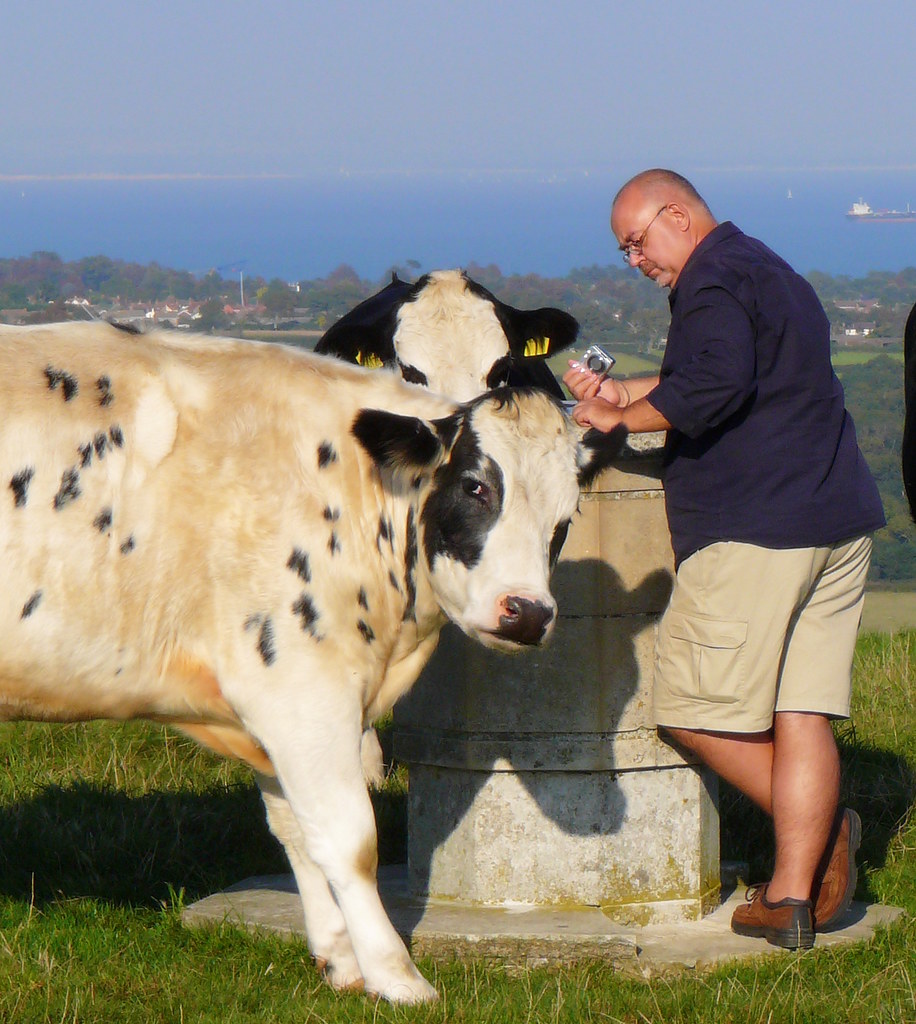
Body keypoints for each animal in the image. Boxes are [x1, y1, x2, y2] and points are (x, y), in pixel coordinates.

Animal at [0, 321, 625, 1004]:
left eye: (565, 517)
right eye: (476, 487)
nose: (528, 612)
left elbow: (299, 831)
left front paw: (341, 959)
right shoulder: (301, 688)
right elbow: (351, 840)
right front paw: (397, 975)